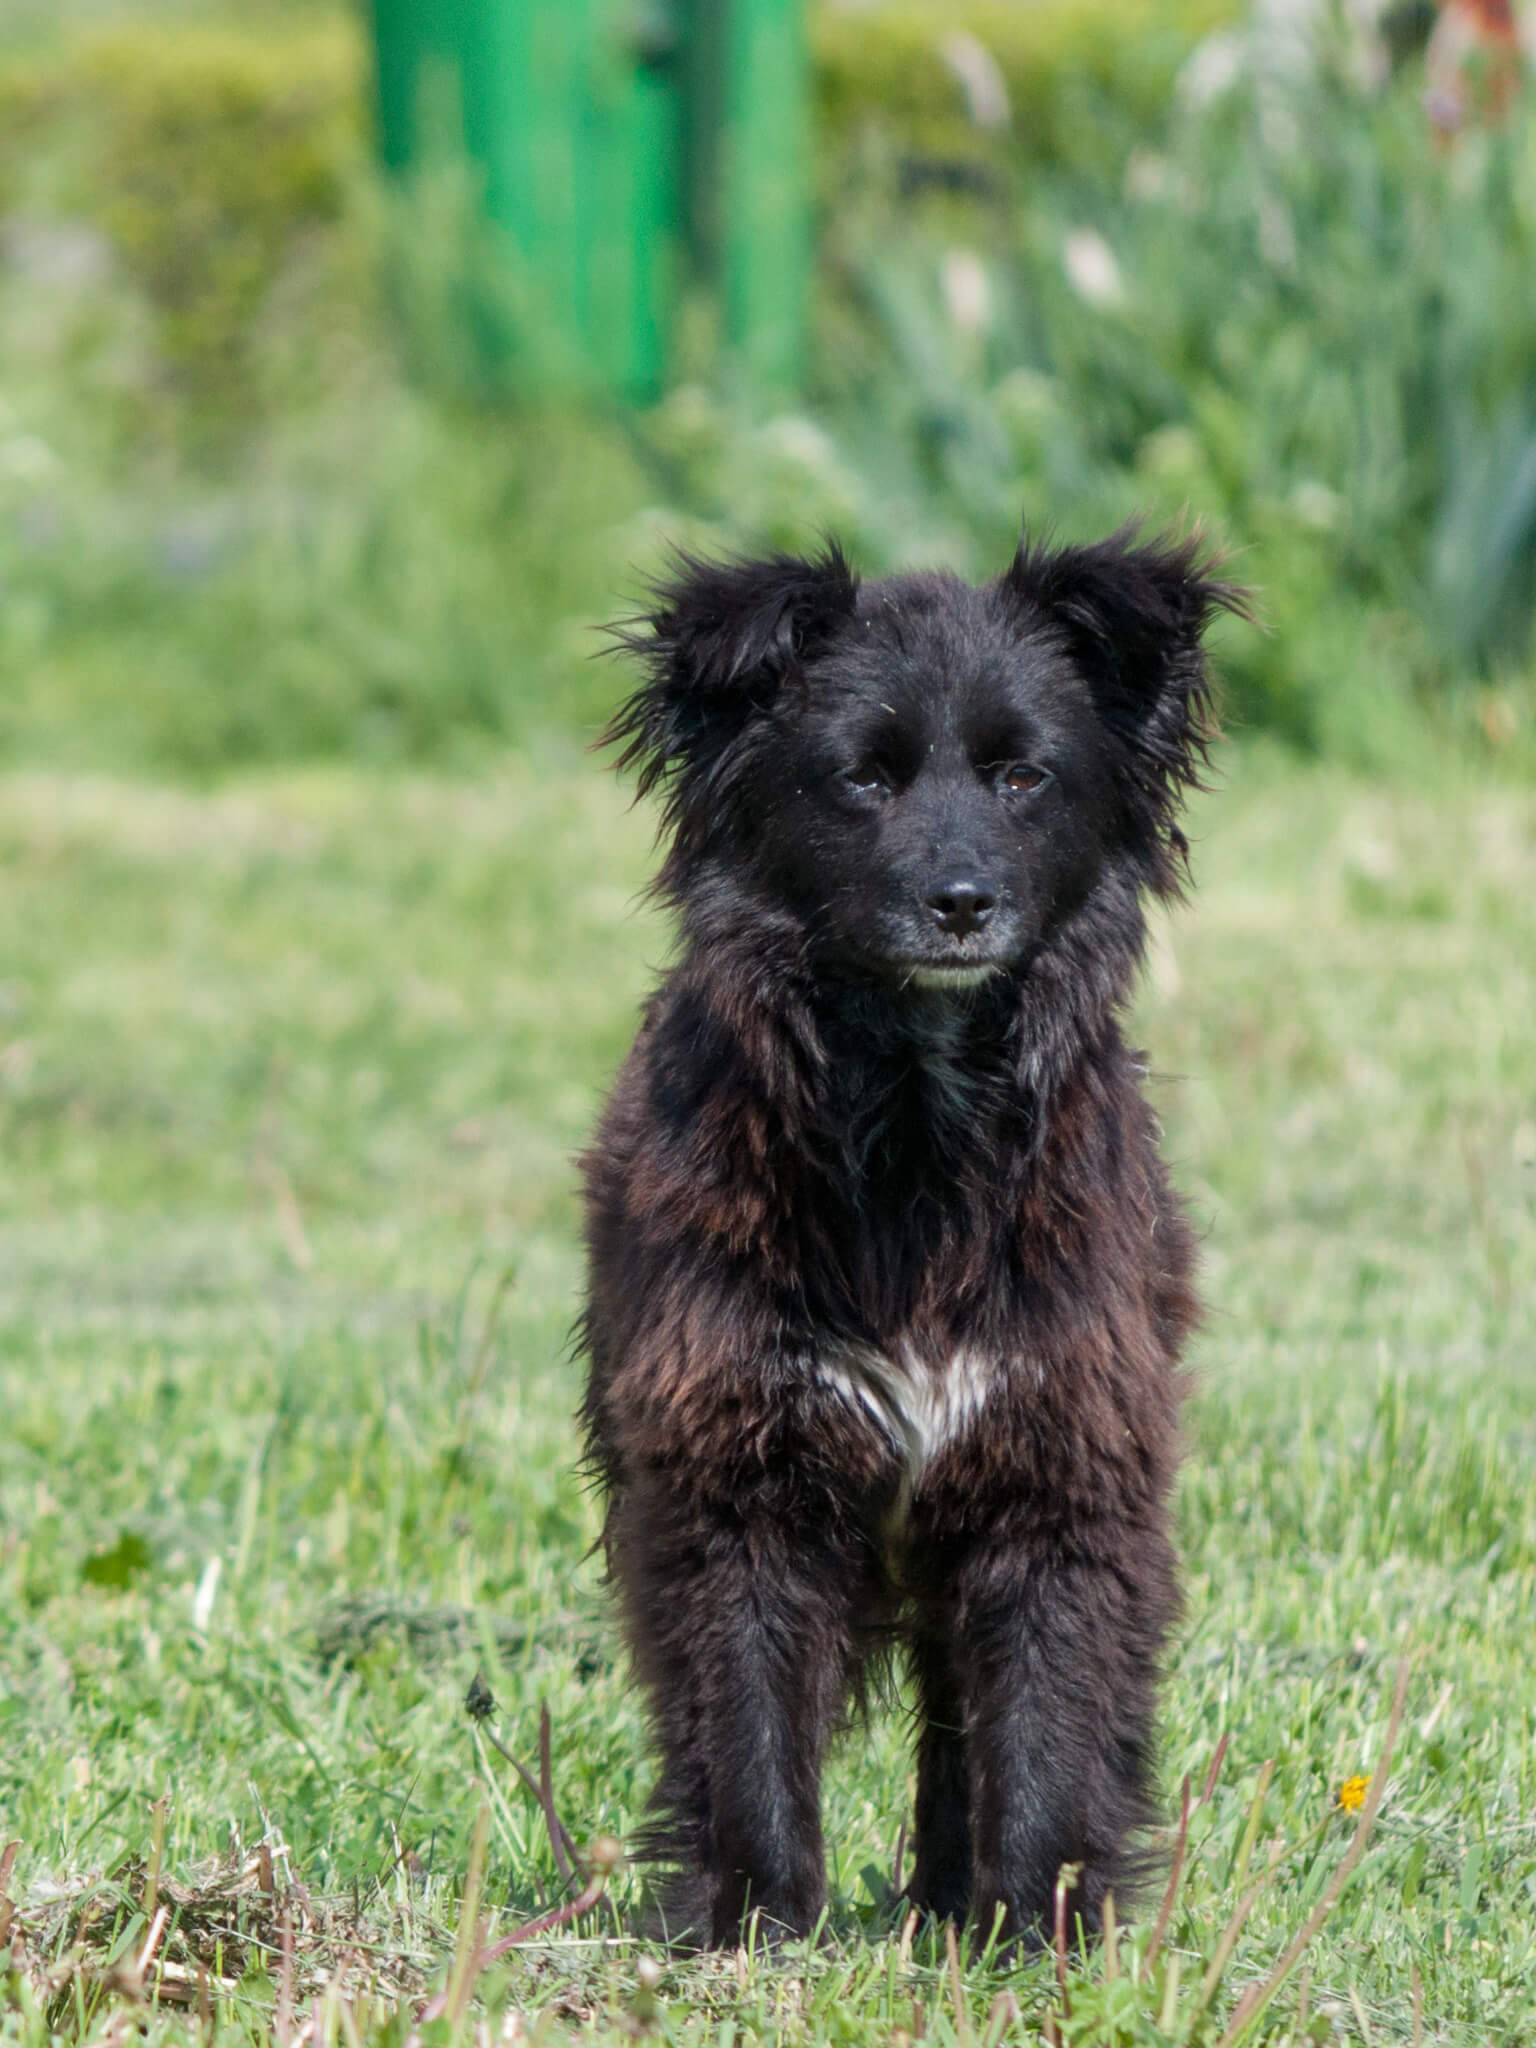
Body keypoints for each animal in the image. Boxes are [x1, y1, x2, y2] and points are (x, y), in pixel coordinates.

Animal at [581, 528, 1245, 1949]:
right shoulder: (732, 1458)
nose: (962, 901)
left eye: (1023, 774)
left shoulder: (1060, 1450)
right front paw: (755, 1924)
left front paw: (1035, 1931)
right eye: (863, 777)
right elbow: (746, 1713)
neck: (921, 1126)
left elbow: (1047, 1719)